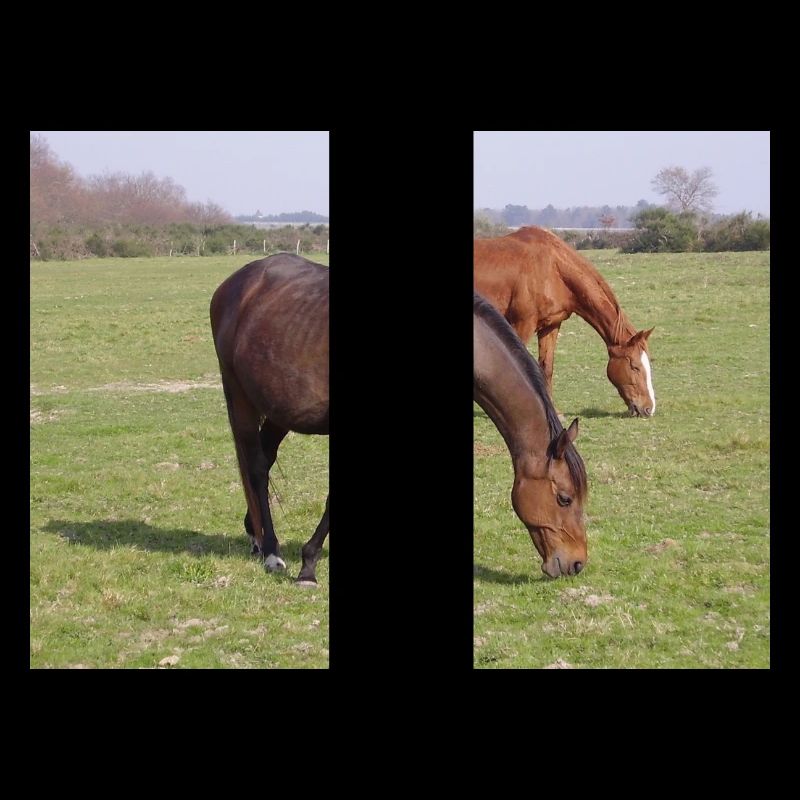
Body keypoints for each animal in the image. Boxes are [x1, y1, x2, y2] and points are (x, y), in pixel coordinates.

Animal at [210, 253, 329, 586]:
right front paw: (308, 566)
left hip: (279, 409)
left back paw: (256, 534)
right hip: (239, 397)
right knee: (257, 467)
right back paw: (272, 551)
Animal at [474, 226, 656, 417]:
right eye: (635, 367)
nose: (649, 408)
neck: (553, 268)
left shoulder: (551, 325)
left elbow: (546, 368)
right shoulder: (522, 323)